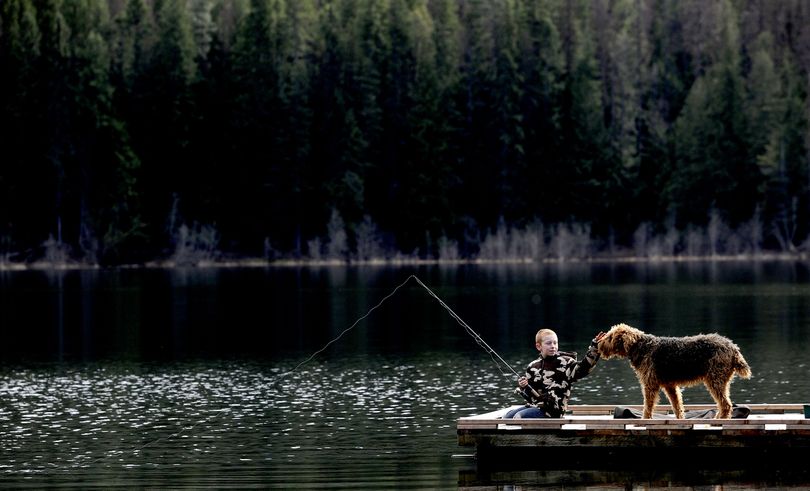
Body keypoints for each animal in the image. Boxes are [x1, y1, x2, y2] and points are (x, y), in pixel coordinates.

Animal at [592, 322, 752, 418]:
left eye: (610, 337)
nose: (598, 345)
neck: (641, 347)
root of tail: (734, 348)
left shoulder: (650, 384)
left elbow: (648, 406)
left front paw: (644, 419)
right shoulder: (670, 385)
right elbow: (677, 406)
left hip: (715, 379)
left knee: (726, 405)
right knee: (725, 404)